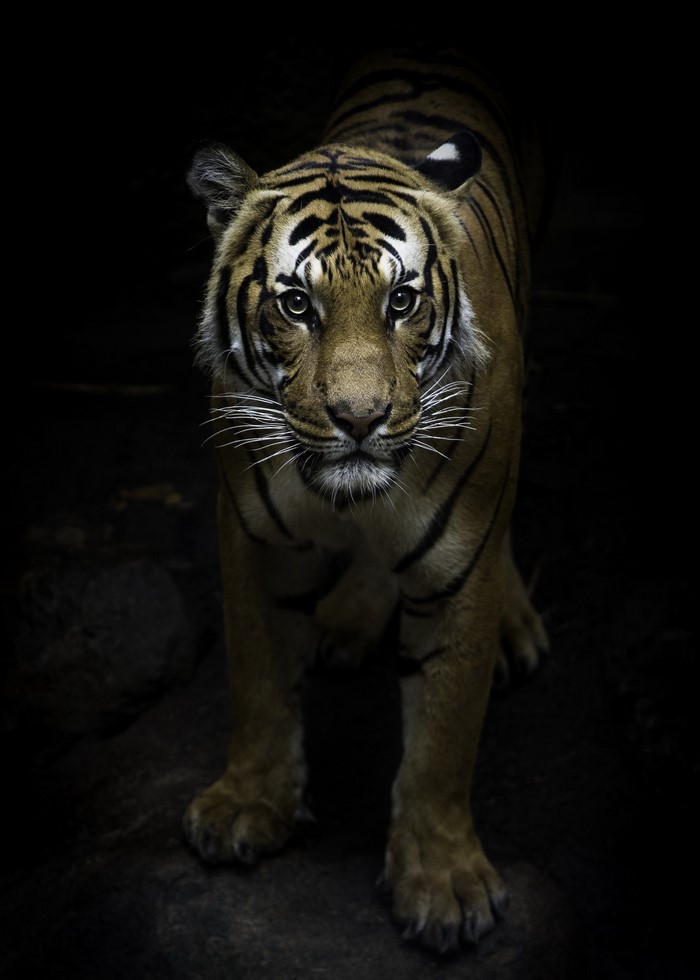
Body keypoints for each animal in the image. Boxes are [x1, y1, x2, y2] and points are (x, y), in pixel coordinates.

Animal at [183, 46, 550, 954]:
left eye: (401, 301)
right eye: (296, 304)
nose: (359, 419)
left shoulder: (461, 566)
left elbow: (445, 734)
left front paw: (444, 886)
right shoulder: (252, 536)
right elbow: (257, 678)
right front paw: (249, 806)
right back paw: (346, 620)